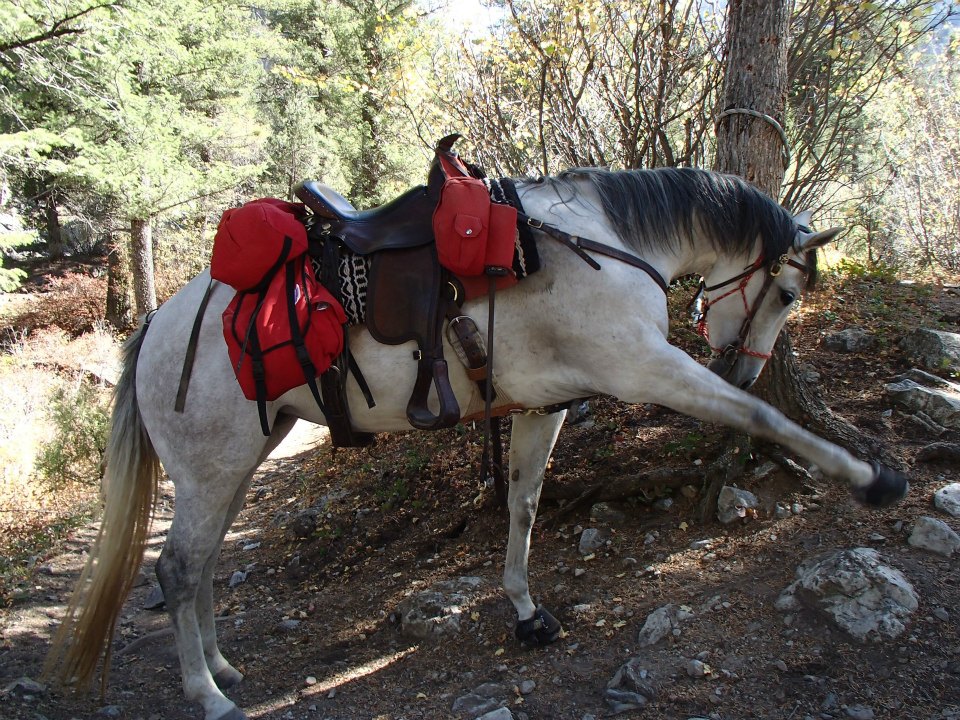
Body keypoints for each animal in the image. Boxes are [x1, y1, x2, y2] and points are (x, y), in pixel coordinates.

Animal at [45, 166, 908, 720]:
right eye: (787, 291)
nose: (745, 361)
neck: (600, 242)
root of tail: (155, 323)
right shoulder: (646, 366)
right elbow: (760, 420)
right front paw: (869, 478)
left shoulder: (544, 405)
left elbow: (524, 506)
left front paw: (525, 610)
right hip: (209, 468)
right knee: (176, 567)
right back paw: (208, 693)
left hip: (235, 465)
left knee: (204, 565)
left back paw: (223, 664)